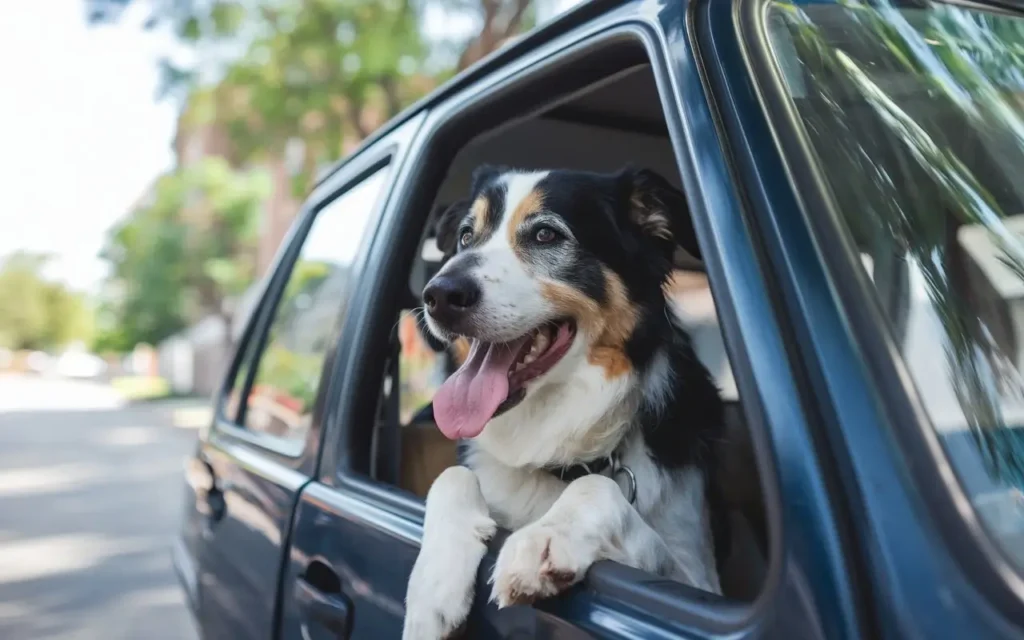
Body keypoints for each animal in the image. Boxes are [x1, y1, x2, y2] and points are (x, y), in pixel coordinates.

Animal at [401, 165, 729, 638]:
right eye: (465, 236)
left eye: (545, 235)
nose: (438, 295)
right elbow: (451, 476)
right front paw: (433, 586)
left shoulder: (698, 580)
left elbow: (597, 486)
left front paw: (544, 538)